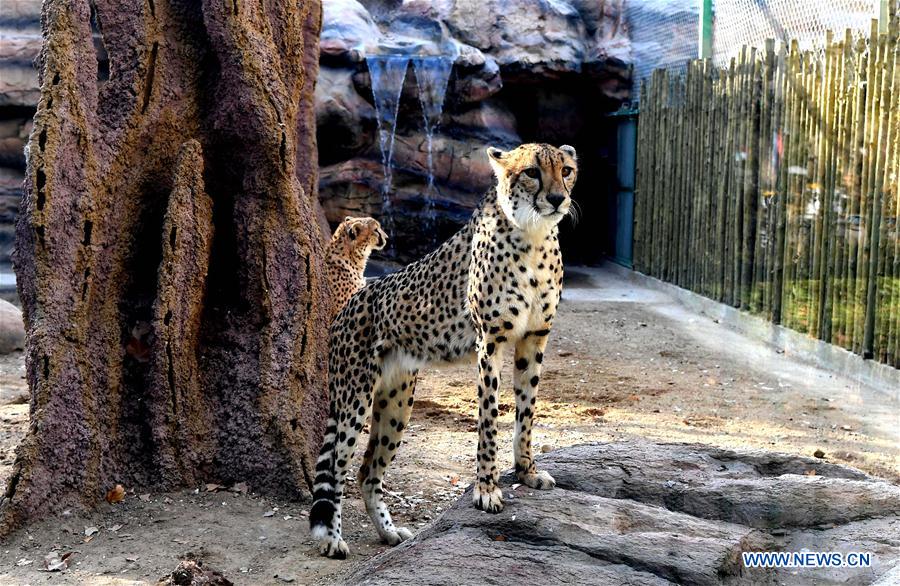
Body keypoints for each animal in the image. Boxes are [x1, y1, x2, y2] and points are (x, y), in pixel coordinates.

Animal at [310, 143, 578, 558]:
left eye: (566, 170)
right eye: (532, 172)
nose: (556, 198)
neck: (533, 235)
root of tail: (347, 308)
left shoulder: (534, 337)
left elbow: (527, 411)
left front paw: (527, 471)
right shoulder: (490, 340)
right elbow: (489, 418)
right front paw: (486, 489)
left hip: (396, 402)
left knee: (368, 470)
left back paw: (389, 533)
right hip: (354, 398)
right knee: (338, 466)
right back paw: (333, 539)